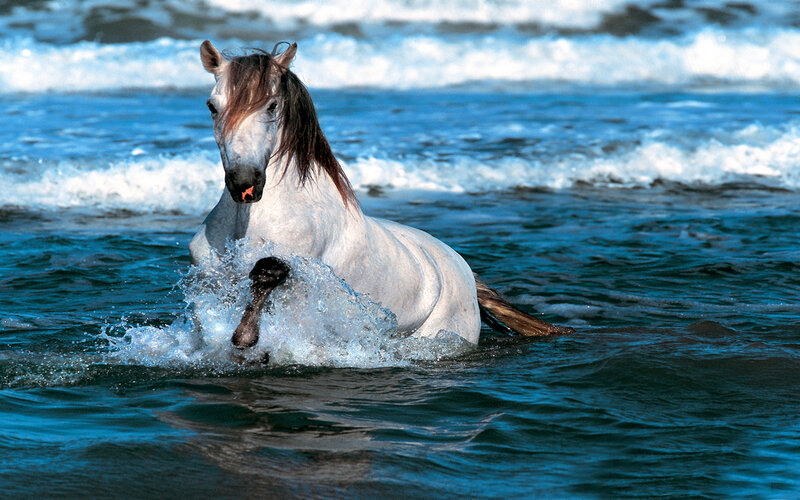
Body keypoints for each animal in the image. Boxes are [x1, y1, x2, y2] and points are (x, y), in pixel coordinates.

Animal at [189, 40, 573, 350]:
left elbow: (268, 273)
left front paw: (245, 338)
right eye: (211, 106)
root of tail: (464, 270)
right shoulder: (208, 280)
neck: (248, 221)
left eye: (271, 106)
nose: (244, 183)